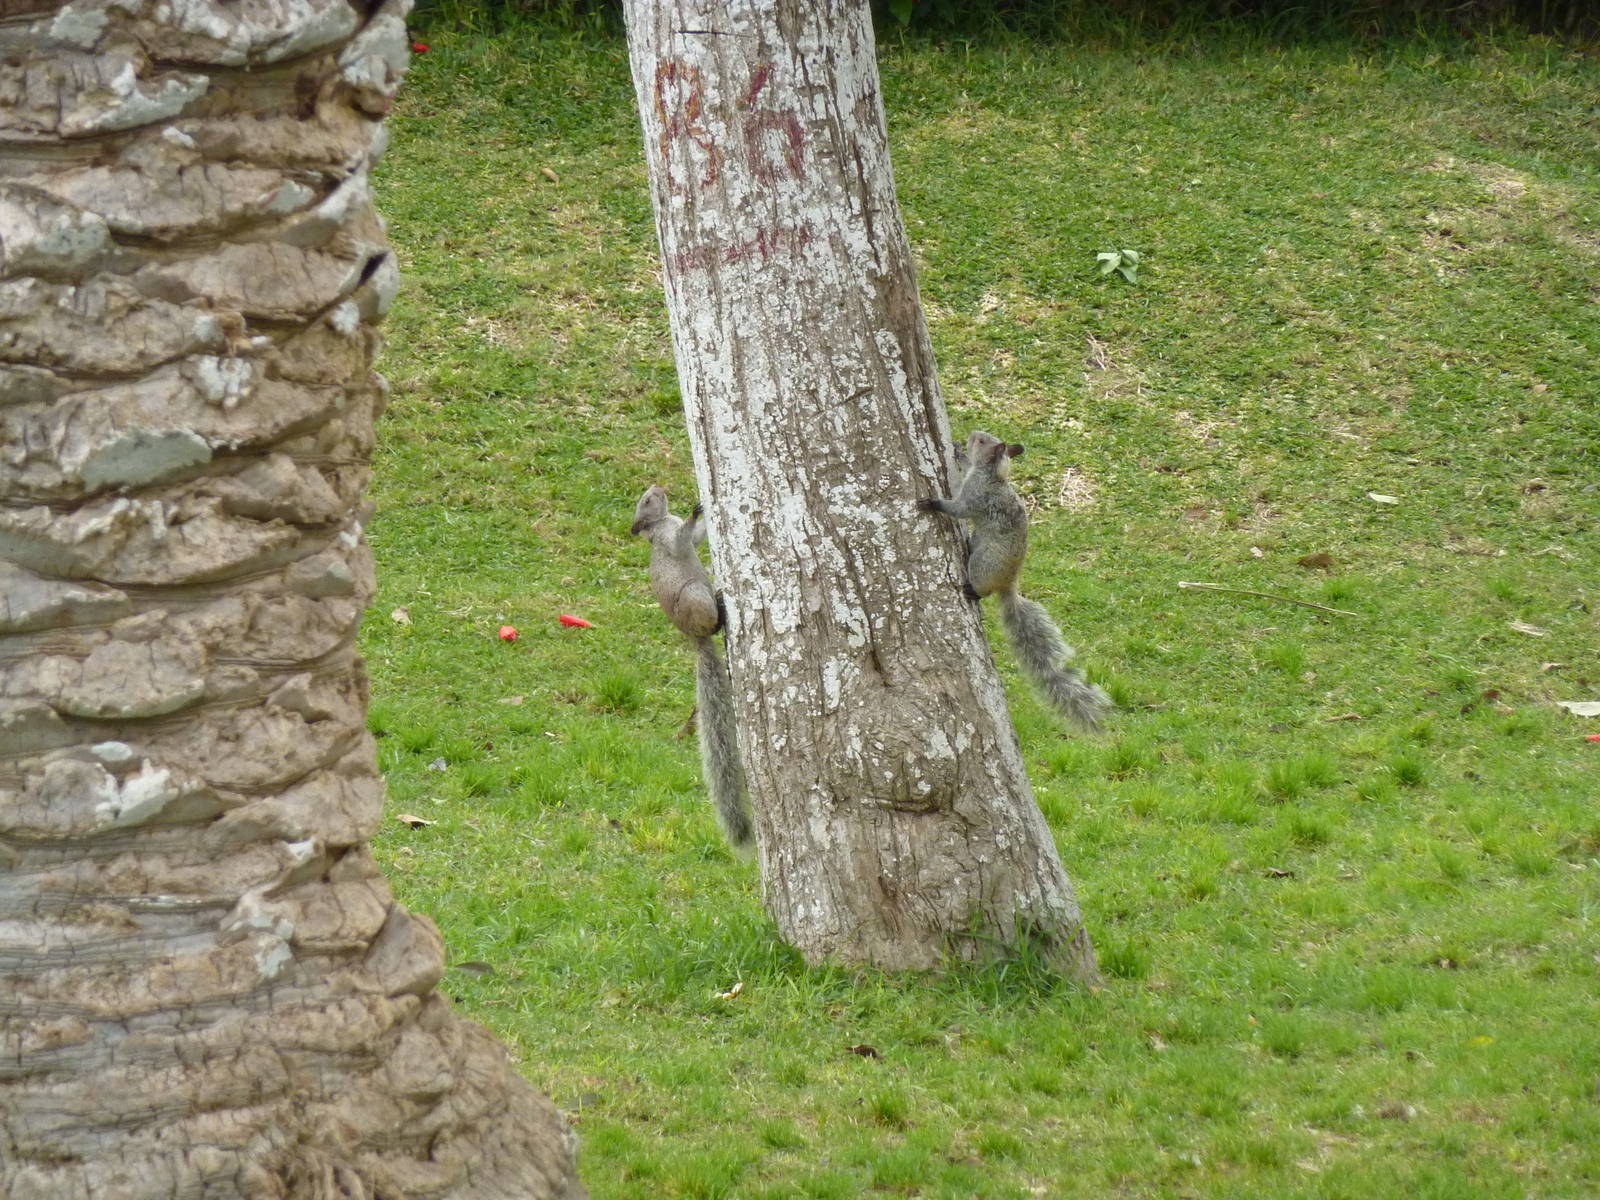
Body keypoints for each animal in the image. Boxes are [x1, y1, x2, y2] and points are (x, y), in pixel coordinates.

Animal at [631, 484, 754, 849]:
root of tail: (694, 639)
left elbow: (697, 539)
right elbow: (684, 537)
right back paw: (721, 608)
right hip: (695, 595)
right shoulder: (669, 539)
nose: (658, 487)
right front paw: (695, 512)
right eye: (646, 501)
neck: (659, 523)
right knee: (710, 622)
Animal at [916, 431, 1111, 731]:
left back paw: (973, 591)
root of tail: (1009, 584)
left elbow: (958, 508)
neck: (993, 475)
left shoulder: (975, 495)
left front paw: (933, 503)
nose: (972, 434)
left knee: (983, 588)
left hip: (981, 564)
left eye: (982, 441)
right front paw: (958, 452)